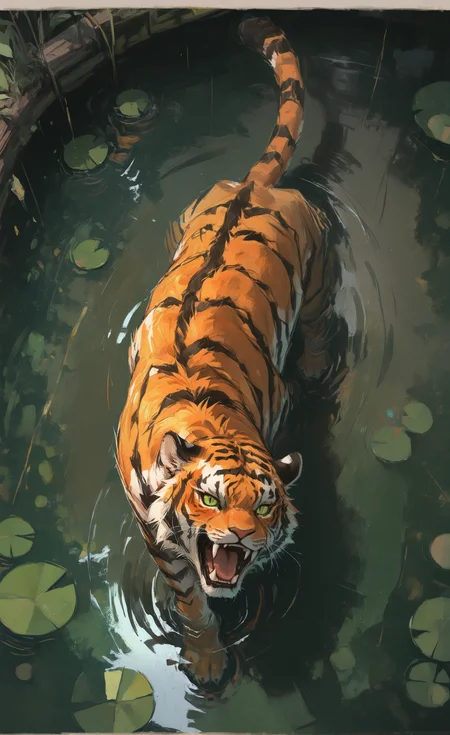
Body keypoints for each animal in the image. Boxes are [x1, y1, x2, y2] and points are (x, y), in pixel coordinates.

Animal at [116, 15, 342, 688]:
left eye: (265, 506)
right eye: (211, 498)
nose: (239, 539)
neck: (211, 424)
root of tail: (253, 184)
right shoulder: (158, 539)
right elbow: (191, 600)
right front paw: (209, 658)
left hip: (316, 280)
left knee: (316, 332)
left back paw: (317, 369)